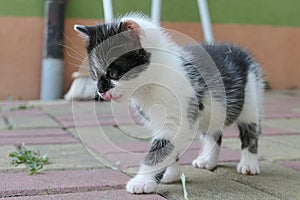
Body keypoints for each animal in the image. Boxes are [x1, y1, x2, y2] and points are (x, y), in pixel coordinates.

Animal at [74, 13, 264, 194]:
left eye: (113, 73)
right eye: (94, 75)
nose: (101, 91)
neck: (151, 83)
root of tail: (238, 50)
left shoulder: (176, 117)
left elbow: (162, 147)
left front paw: (142, 182)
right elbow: (170, 148)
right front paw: (171, 174)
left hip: (251, 95)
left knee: (250, 130)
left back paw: (248, 164)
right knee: (213, 130)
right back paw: (207, 160)